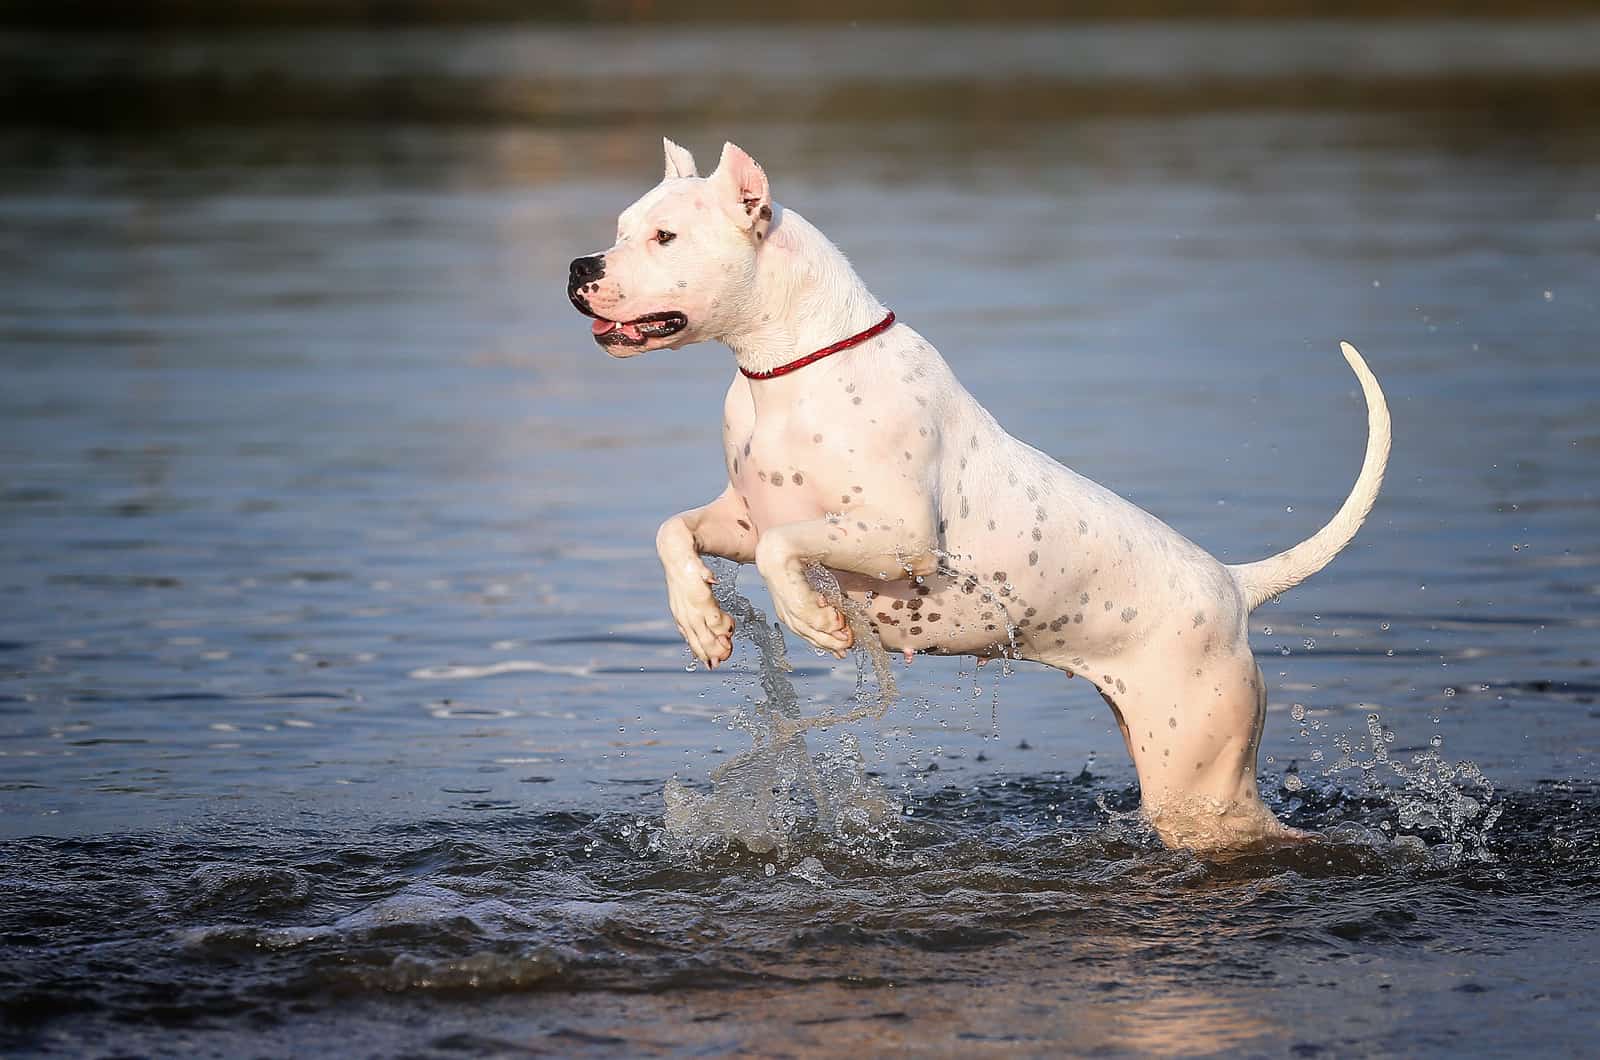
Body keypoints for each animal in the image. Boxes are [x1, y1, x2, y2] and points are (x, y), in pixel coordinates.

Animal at [572, 143, 1388, 858]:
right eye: (620, 227)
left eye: (665, 236)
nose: (581, 265)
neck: (791, 368)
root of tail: (1233, 586)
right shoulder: (741, 518)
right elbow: (673, 531)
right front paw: (702, 621)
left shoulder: (898, 537)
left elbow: (783, 551)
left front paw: (813, 620)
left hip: (1202, 786)